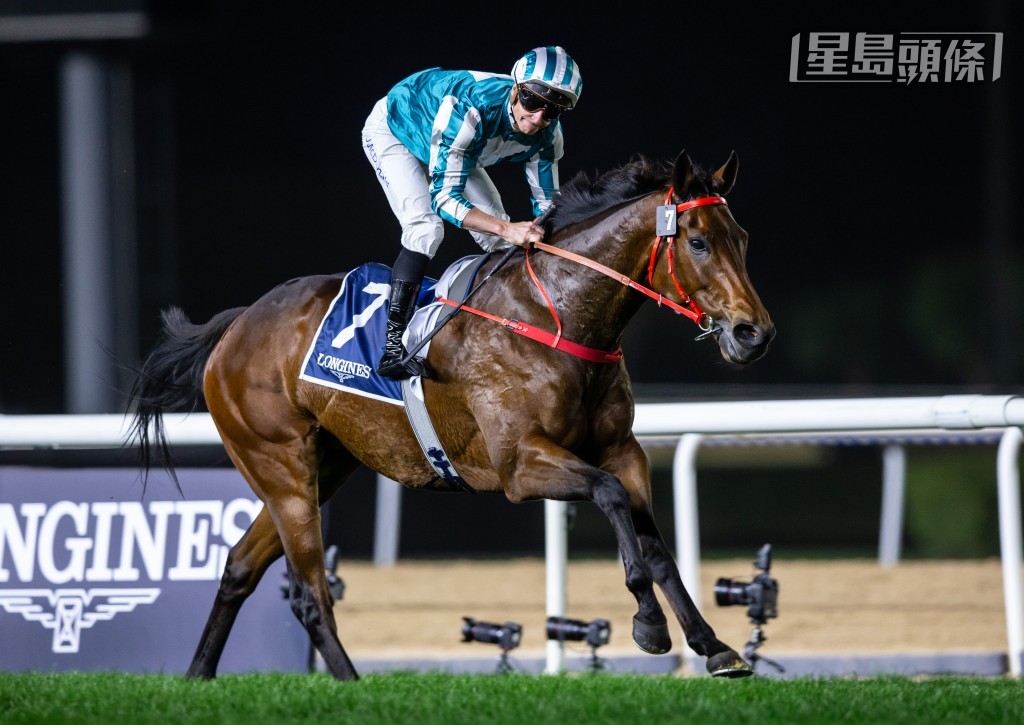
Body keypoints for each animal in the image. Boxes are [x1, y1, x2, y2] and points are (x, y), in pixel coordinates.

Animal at [130, 150, 774, 684]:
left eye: (741, 238)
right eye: (698, 241)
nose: (754, 333)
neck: (558, 314)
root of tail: (236, 324)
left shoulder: (622, 449)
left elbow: (656, 543)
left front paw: (714, 646)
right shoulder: (520, 465)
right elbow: (611, 497)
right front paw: (648, 623)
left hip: (325, 465)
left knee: (239, 567)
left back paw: (198, 677)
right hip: (279, 465)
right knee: (309, 593)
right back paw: (352, 687)